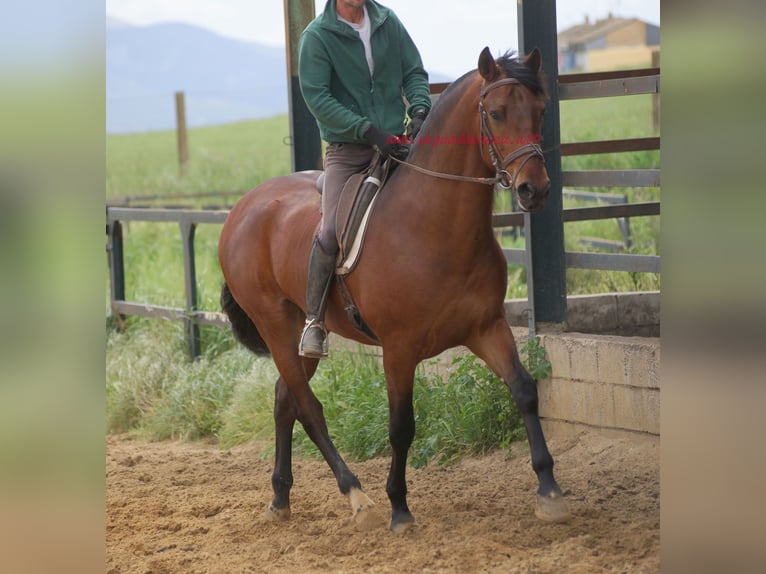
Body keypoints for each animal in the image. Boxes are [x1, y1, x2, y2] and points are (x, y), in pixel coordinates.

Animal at [218, 47, 569, 532]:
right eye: (496, 113)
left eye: (540, 111)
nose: (534, 189)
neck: (434, 226)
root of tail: (242, 208)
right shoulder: (399, 349)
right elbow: (402, 426)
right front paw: (399, 507)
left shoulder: (486, 328)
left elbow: (524, 391)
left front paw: (549, 489)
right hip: (274, 326)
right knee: (308, 407)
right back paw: (357, 497)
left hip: (301, 333)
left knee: (284, 400)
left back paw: (280, 497)